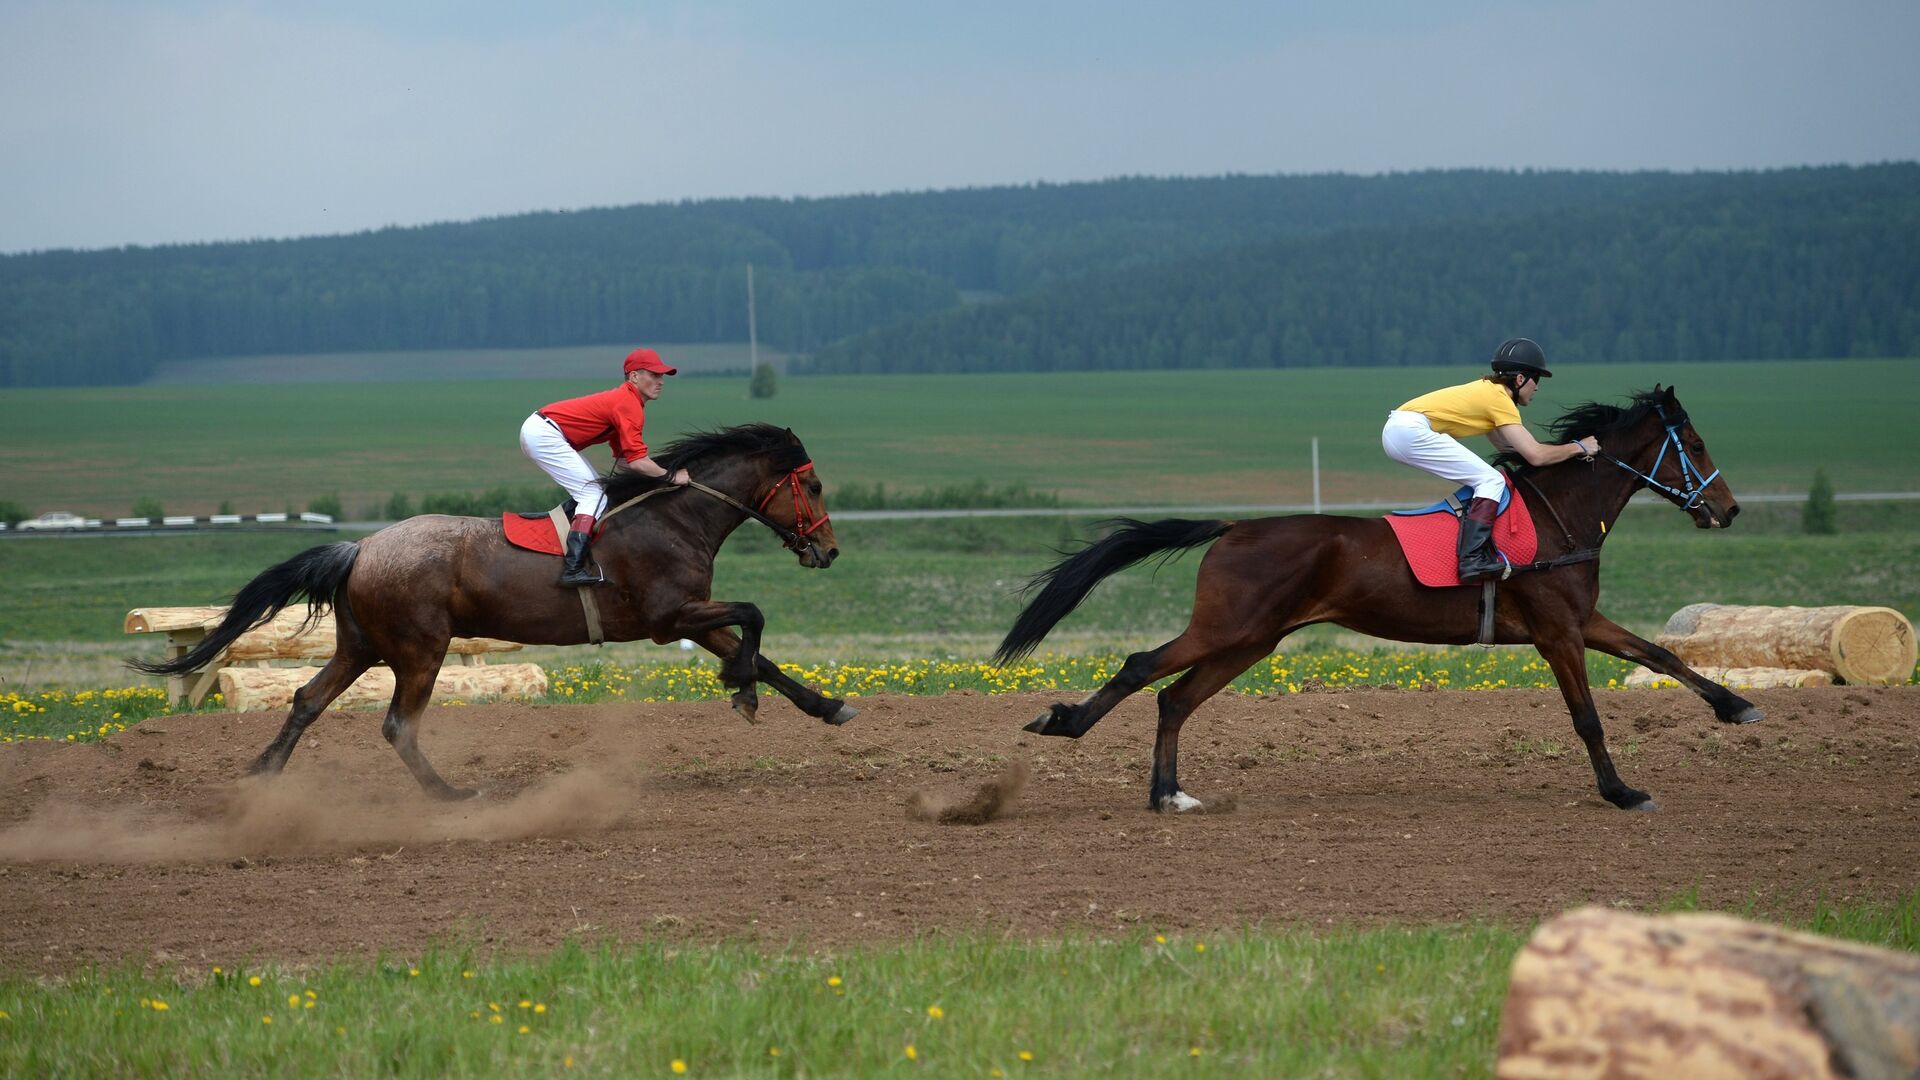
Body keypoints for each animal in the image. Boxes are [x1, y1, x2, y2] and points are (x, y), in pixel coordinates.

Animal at [131, 418, 852, 791]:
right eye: (814, 484)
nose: (829, 551)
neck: (676, 516)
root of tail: (361, 548)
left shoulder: (692, 616)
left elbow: (764, 656)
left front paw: (822, 705)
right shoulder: (670, 617)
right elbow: (754, 617)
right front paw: (742, 690)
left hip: (362, 645)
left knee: (308, 698)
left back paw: (263, 776)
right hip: (419, 651)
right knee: (397, 725)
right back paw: (449, 795)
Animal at [998, 382, 1758, 810]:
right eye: (1693, 441)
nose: (1728, 510)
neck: (1558, 516)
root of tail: (1236, 526)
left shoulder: (1581, 619)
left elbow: (1659, 653)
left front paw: (1736, 705)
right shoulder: (1557, 634)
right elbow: (1588, 718)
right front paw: (1621, 793)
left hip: (1253, 639)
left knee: (1175, 698)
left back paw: (1168, 794)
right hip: (1228, 626)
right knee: (1141, 668)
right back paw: (1065, 724)